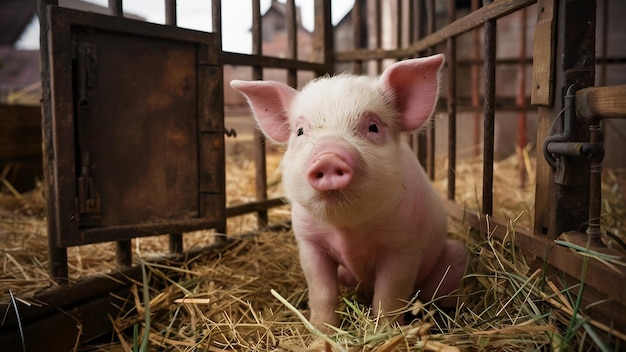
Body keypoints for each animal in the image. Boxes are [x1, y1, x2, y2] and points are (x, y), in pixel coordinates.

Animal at [229, 54, 464, 328]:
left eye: (373, 127)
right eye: (300, 131)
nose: (328, 157)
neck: (347, 229)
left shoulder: (404, 246)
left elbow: (390, 295)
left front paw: (385, 329)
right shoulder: (309, 242)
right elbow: (322, 291)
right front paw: (322, 331)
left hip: (455, 255)